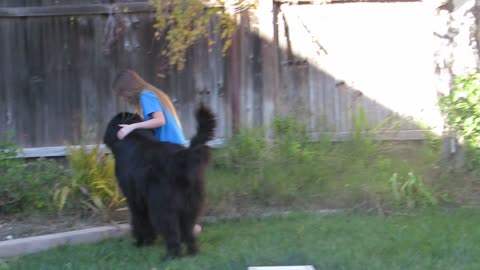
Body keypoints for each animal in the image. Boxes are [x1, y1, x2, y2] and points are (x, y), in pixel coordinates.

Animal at [105, 104, 218, 260]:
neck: (134, 136)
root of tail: (181, 157)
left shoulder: (135, 199)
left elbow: (140, 220)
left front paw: (141, 241)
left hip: (163, 205)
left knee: (171, 230)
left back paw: (171, 255)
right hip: (190, 203)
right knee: (188, 229)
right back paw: (192, 252)